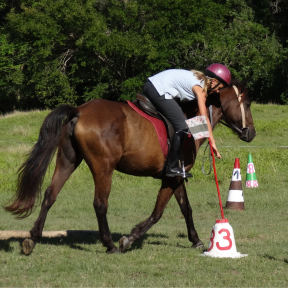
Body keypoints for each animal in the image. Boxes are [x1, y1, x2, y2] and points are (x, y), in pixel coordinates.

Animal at [5, 79, 255, 254]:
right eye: (247, 103)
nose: (251, 133)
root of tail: (79, 111)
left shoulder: (176, 177)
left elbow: (186, 208)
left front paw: (195, 239)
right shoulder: (171, 177)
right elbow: (157, 213)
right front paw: (129, 238)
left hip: (68, 161)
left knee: (50, 195)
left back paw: (32, 238)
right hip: (103, 168)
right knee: (100, 204)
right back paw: (110, 245)